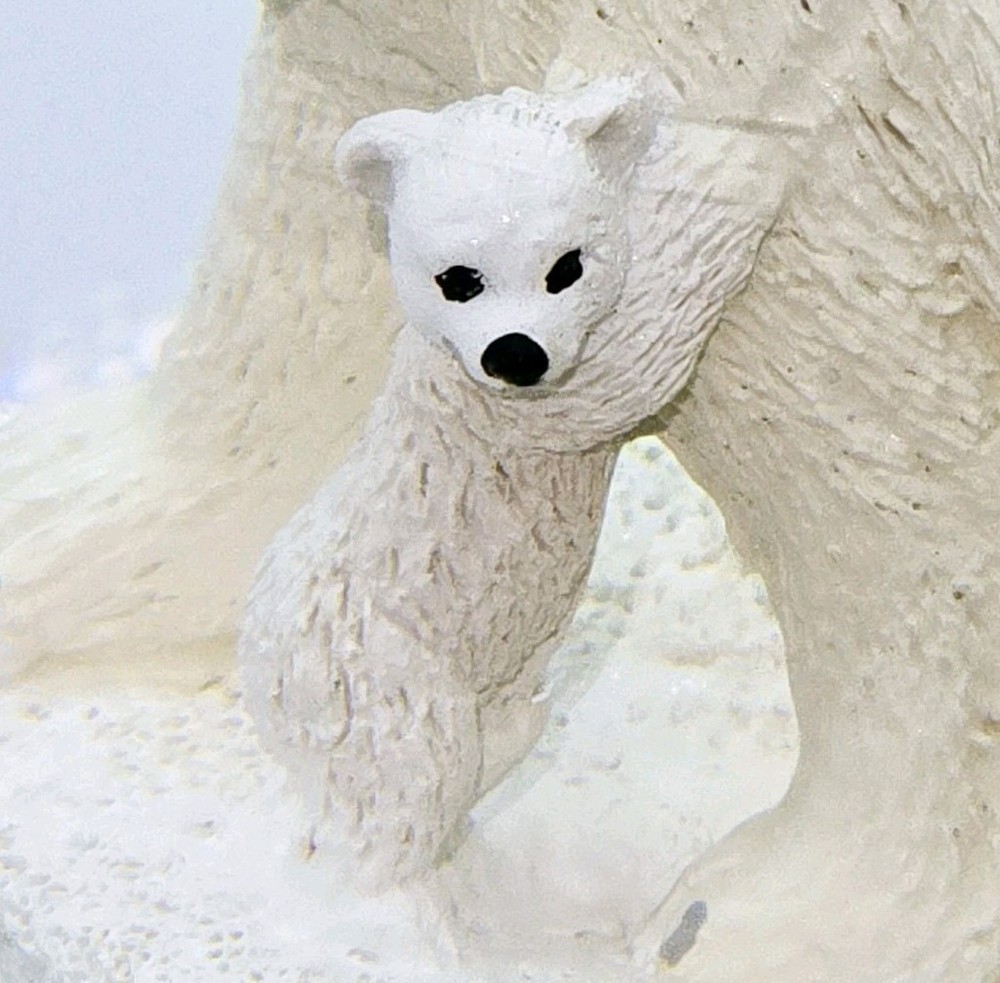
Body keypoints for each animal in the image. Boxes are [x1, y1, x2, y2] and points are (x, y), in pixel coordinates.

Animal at [237, 75, 781, 891]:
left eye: (566, 266)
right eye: (459, 278)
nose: (515, 353)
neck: (450, 355)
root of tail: (261, 669)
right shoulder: (525, 411)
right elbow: (648, 338)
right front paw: (736, 165)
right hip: (374, 677)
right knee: (403, 796)